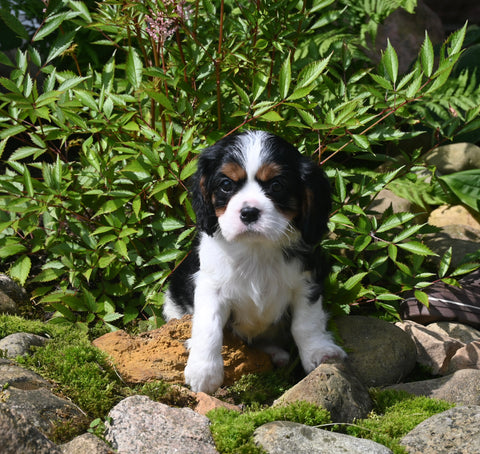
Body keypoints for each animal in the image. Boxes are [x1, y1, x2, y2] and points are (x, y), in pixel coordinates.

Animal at [163, 129, 346, 392]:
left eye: (277, 185)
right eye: (226, 185)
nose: (249, 212)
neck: (256, 248)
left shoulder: (306, 281)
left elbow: (306, 322)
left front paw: (318, 352)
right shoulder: (209, 286)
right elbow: (208, 326)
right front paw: (203, 371)